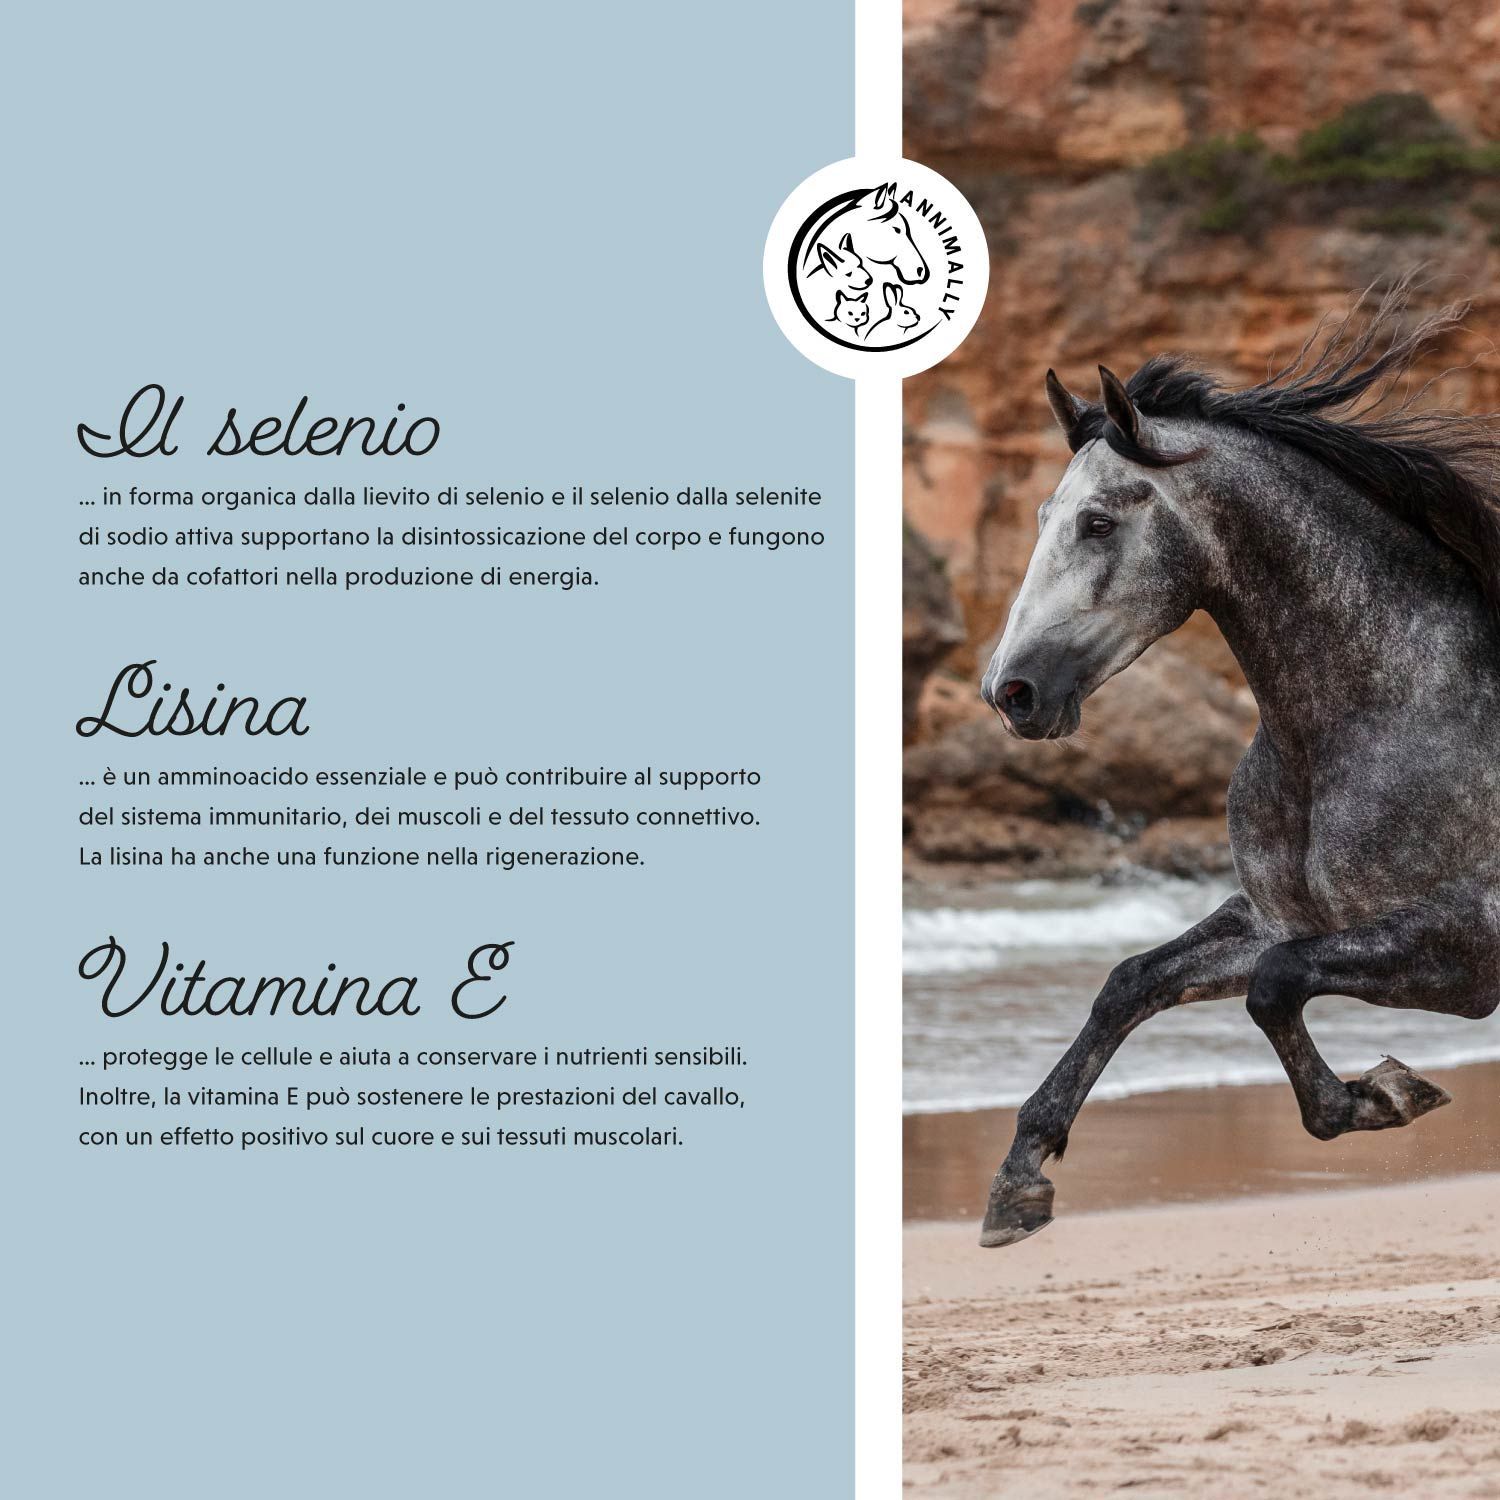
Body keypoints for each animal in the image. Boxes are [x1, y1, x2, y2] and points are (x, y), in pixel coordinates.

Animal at [975, 279, 1500, 1248]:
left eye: (1097, 522)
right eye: (1039, 520)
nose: (1010, 691)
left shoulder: (1470, 944)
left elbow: (1273, 988)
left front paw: (1386, 1094)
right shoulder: (1281, 917)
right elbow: (1132, 982)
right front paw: (1019, 1182)